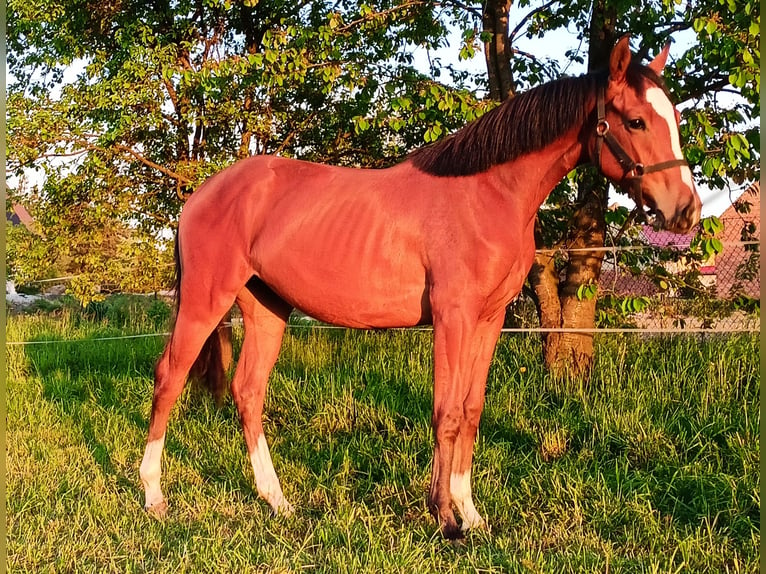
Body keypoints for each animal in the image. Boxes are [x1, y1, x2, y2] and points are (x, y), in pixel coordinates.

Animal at [138, 38, 704, 544]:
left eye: (674, 119)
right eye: (636, 121)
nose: (686, 211)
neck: (487, 193)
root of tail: (202, 195)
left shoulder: (489, 320)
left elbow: (472, 411)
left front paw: (472, 515)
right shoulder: (453, 318)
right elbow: (446, 412)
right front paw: (445, 518)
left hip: (266, 308)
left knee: (248, 392)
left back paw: (278, 502)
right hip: (204, 302)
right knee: (168, 379)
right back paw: (155, 499)